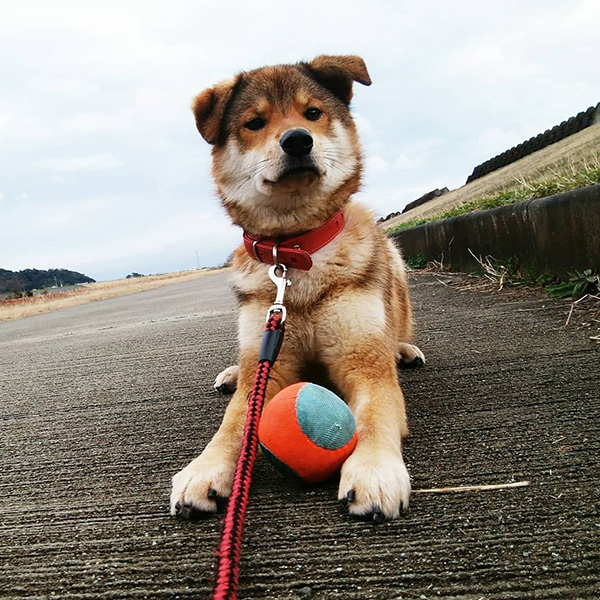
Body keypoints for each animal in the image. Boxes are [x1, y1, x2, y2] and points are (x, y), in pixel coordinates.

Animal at [169, 57, 424, 524]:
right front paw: (205, 468)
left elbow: (376, 415)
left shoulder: (364, 362)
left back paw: (404, 349)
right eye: (255, 122)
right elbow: (235, 421)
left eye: (313, 113)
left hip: (394, 262)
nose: (298, 140)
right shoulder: (270, 361)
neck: (295, 252)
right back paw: (231, 373)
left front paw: (374, 470)